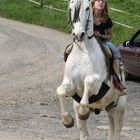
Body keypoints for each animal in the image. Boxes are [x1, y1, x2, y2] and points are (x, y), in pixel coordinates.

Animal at [56, 0, 126, 139]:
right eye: (71, 8)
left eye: (87, 8)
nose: (78, 35)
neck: (83, 52)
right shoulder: (70, 85)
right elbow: (60, 91)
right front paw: (67, 121)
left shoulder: (97, 84)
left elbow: (87, 84)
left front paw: (84, 112)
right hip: (107, 109)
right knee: (85, 134)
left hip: (118, 109)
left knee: (116, 132)